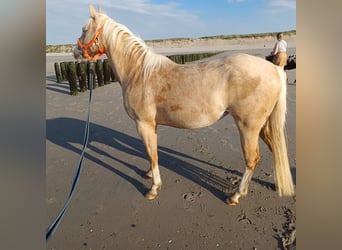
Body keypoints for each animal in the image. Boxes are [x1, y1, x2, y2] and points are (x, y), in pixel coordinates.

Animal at [74, 4, 294, 205]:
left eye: (84, 29)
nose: (76, 52)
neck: (138, 72)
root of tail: (274, 69)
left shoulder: (143, 124)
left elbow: (152, 154)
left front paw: (153, 188)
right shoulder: (151, 125)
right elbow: (152, 152)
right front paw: (149, 174)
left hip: (248, 127)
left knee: (252, 159)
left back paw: (236, 195)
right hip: (263, 126)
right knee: (274, 149)